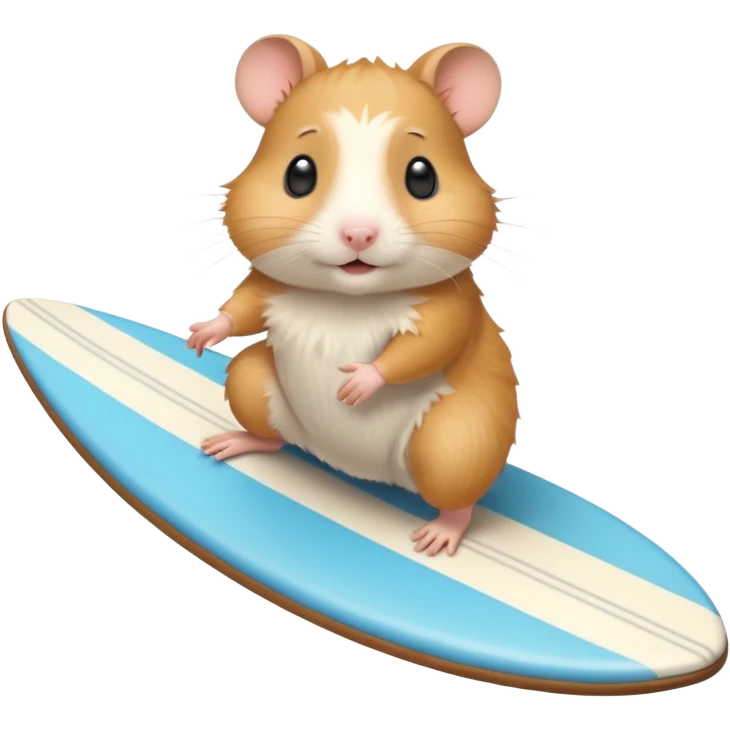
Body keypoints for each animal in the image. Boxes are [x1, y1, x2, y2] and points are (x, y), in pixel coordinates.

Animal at [188, 35, 520, 558]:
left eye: (422, 176)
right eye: (299, 173)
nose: (358, 234)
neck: (347, 299)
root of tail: (360, 471)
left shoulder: (449, 301)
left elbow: (430, 342)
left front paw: (358, 383)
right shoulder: (271, 287)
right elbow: (243, 307)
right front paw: (204, 331)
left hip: (454, 442)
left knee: (458, 497)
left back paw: (441, 534)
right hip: (250, 384)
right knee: (268, 430)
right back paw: (236, 444)